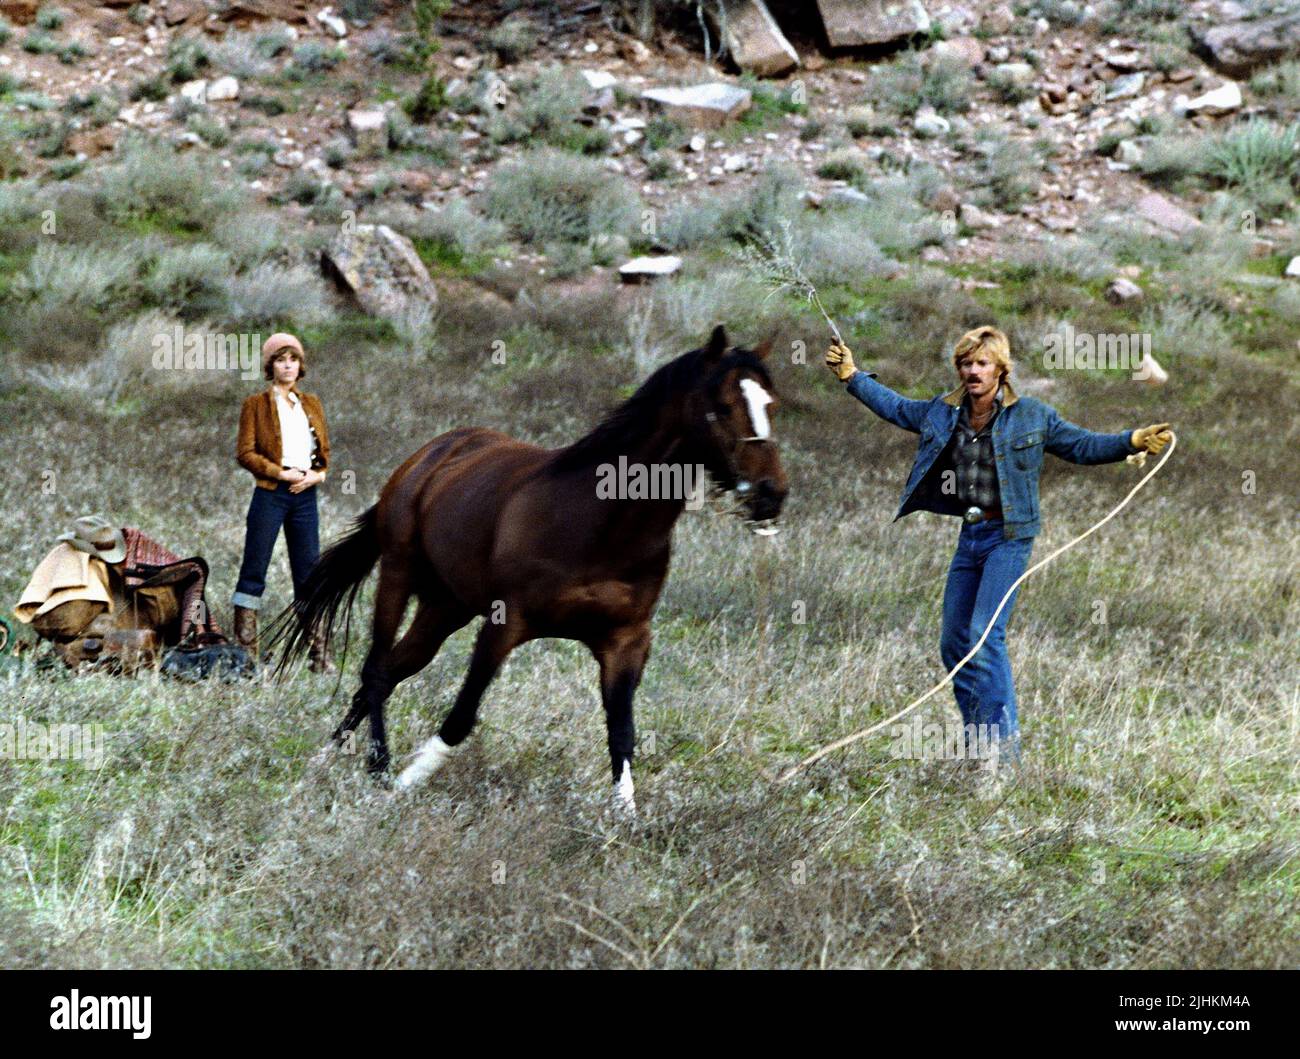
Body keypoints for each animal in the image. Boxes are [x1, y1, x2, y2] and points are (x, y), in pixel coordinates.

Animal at [270, 327, 785, 805]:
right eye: (722, 405)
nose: (770, 494)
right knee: (376, 671)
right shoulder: (506, 624)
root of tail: (428, 457)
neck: (602, 523)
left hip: (446, 607)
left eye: (771, 404)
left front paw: (624, 819)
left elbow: (622, 734)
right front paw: (403, 784)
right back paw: (374, 767)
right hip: (398, 574)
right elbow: (461, 718)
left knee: (392, 671)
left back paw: (329, 757)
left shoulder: (626, 640)